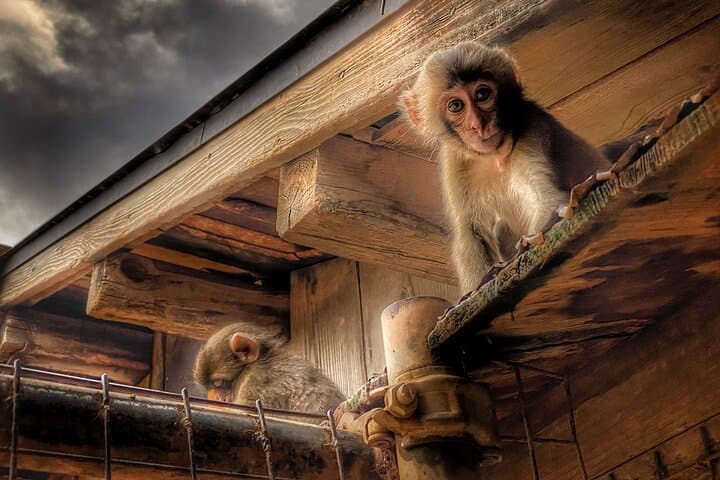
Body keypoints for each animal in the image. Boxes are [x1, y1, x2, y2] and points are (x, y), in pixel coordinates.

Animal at [400, 42, 610, 293]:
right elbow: (471, 232)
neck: (493, 156)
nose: (478, 125)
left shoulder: (530, 127)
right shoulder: (454, 159)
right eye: (456, 105)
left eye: (482, 94)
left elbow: (546, 200)